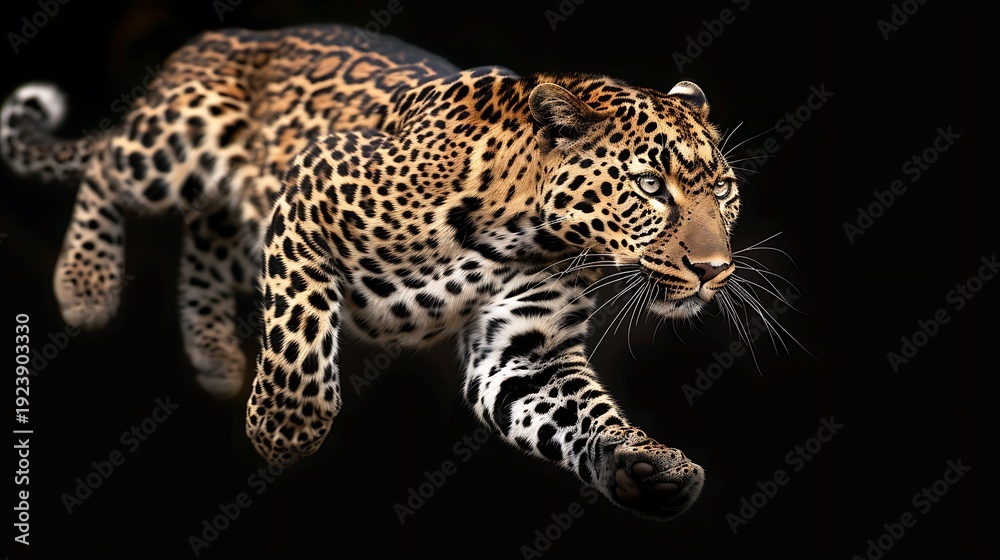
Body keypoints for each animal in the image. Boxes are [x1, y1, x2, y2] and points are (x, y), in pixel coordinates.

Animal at [2, 24, 746, 521]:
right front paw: (286, 428)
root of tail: (221, 35)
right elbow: (300, 327)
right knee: (106, 167)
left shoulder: (524, 352)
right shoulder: (313, 183)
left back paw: (213, 353)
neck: (530, 231)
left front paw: (645, 466)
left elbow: (577, 412)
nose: (714, 270)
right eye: (649, 185)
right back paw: (86, 285)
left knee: (207, 236)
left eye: (723, 190)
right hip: (177, 146)